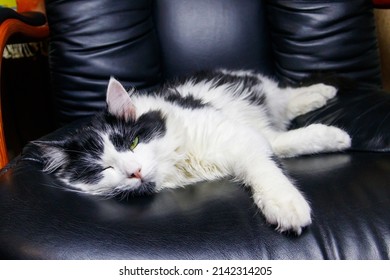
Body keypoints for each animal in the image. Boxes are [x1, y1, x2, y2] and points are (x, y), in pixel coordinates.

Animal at [35, 69, 352, 234]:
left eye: (133, 143)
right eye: (102, 169)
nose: (134, 172)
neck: (180, 162)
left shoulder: (237, 136)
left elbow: (267, 168)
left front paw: (286, 205)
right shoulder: (250, 136)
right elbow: (280, 145)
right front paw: (333, 137)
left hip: (264, 95)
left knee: (287, 95)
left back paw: (322, 91)